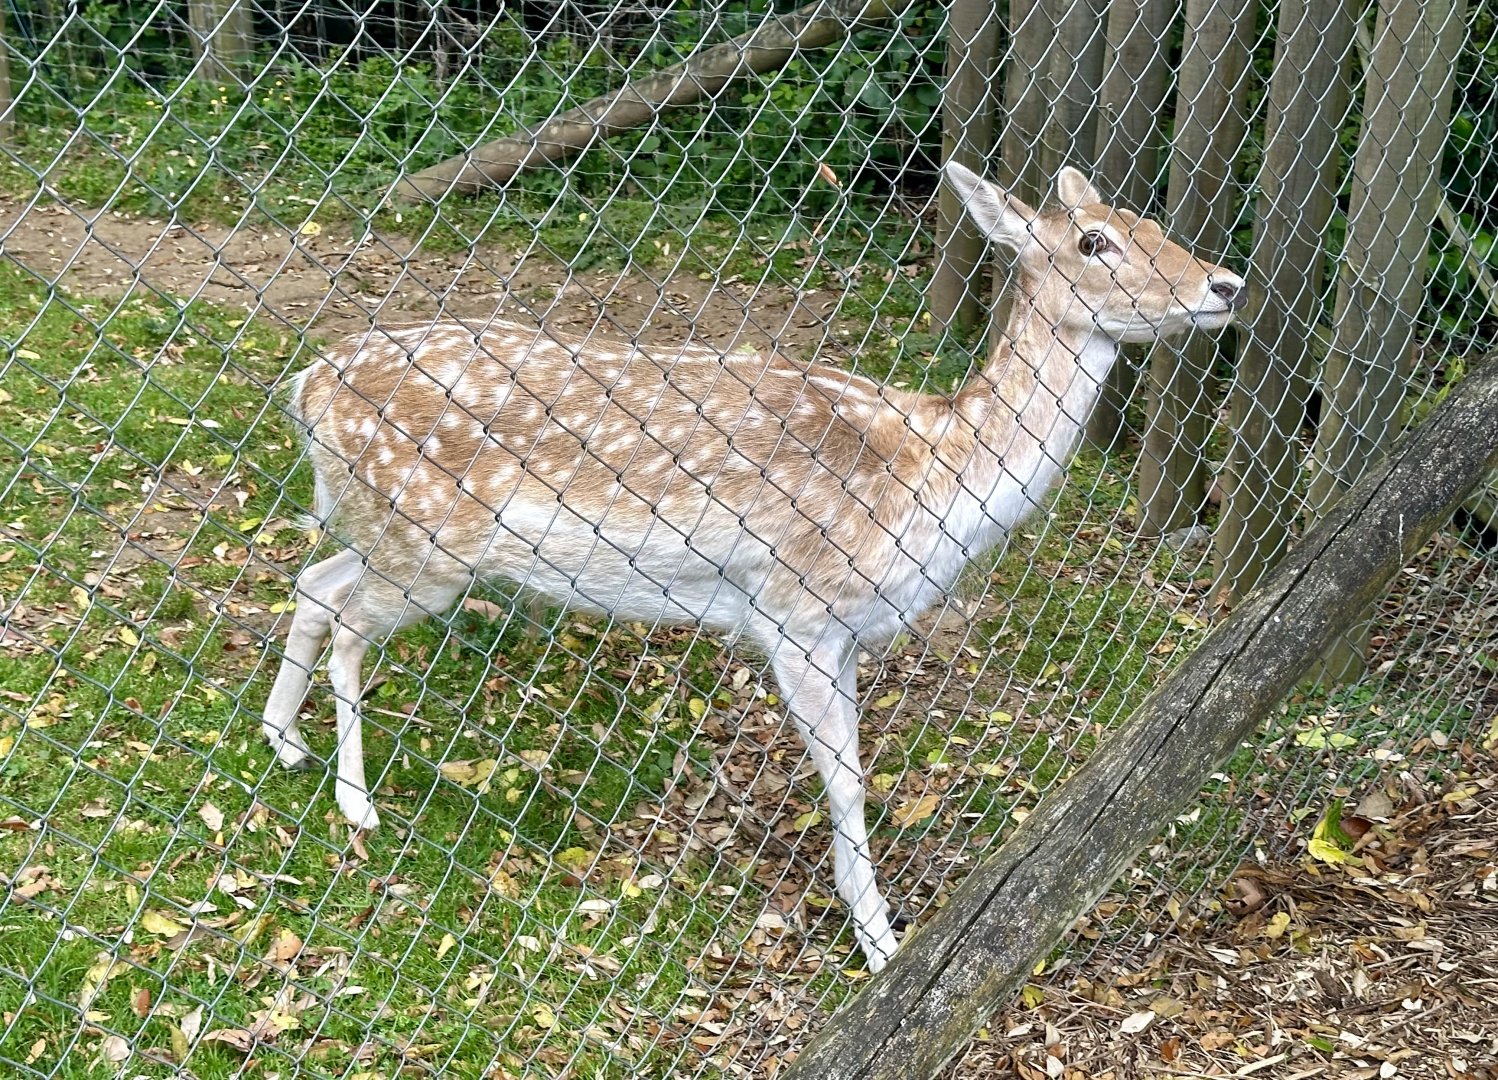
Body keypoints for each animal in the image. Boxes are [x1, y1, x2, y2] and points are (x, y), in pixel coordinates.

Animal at [260, 161, 1244, 973]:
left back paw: (285, 741)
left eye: (1154, 220)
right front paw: (880, 945)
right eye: (1094, 241)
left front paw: (872, 923)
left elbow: (854, 772)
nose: (1226, 283)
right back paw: (355, 804)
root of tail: (305, 388)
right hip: (427, 543)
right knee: (346, 620)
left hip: (387, 529)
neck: (932, 480)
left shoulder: (848, 635)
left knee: (313, 586)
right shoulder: (796, 613)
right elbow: (846, 781)